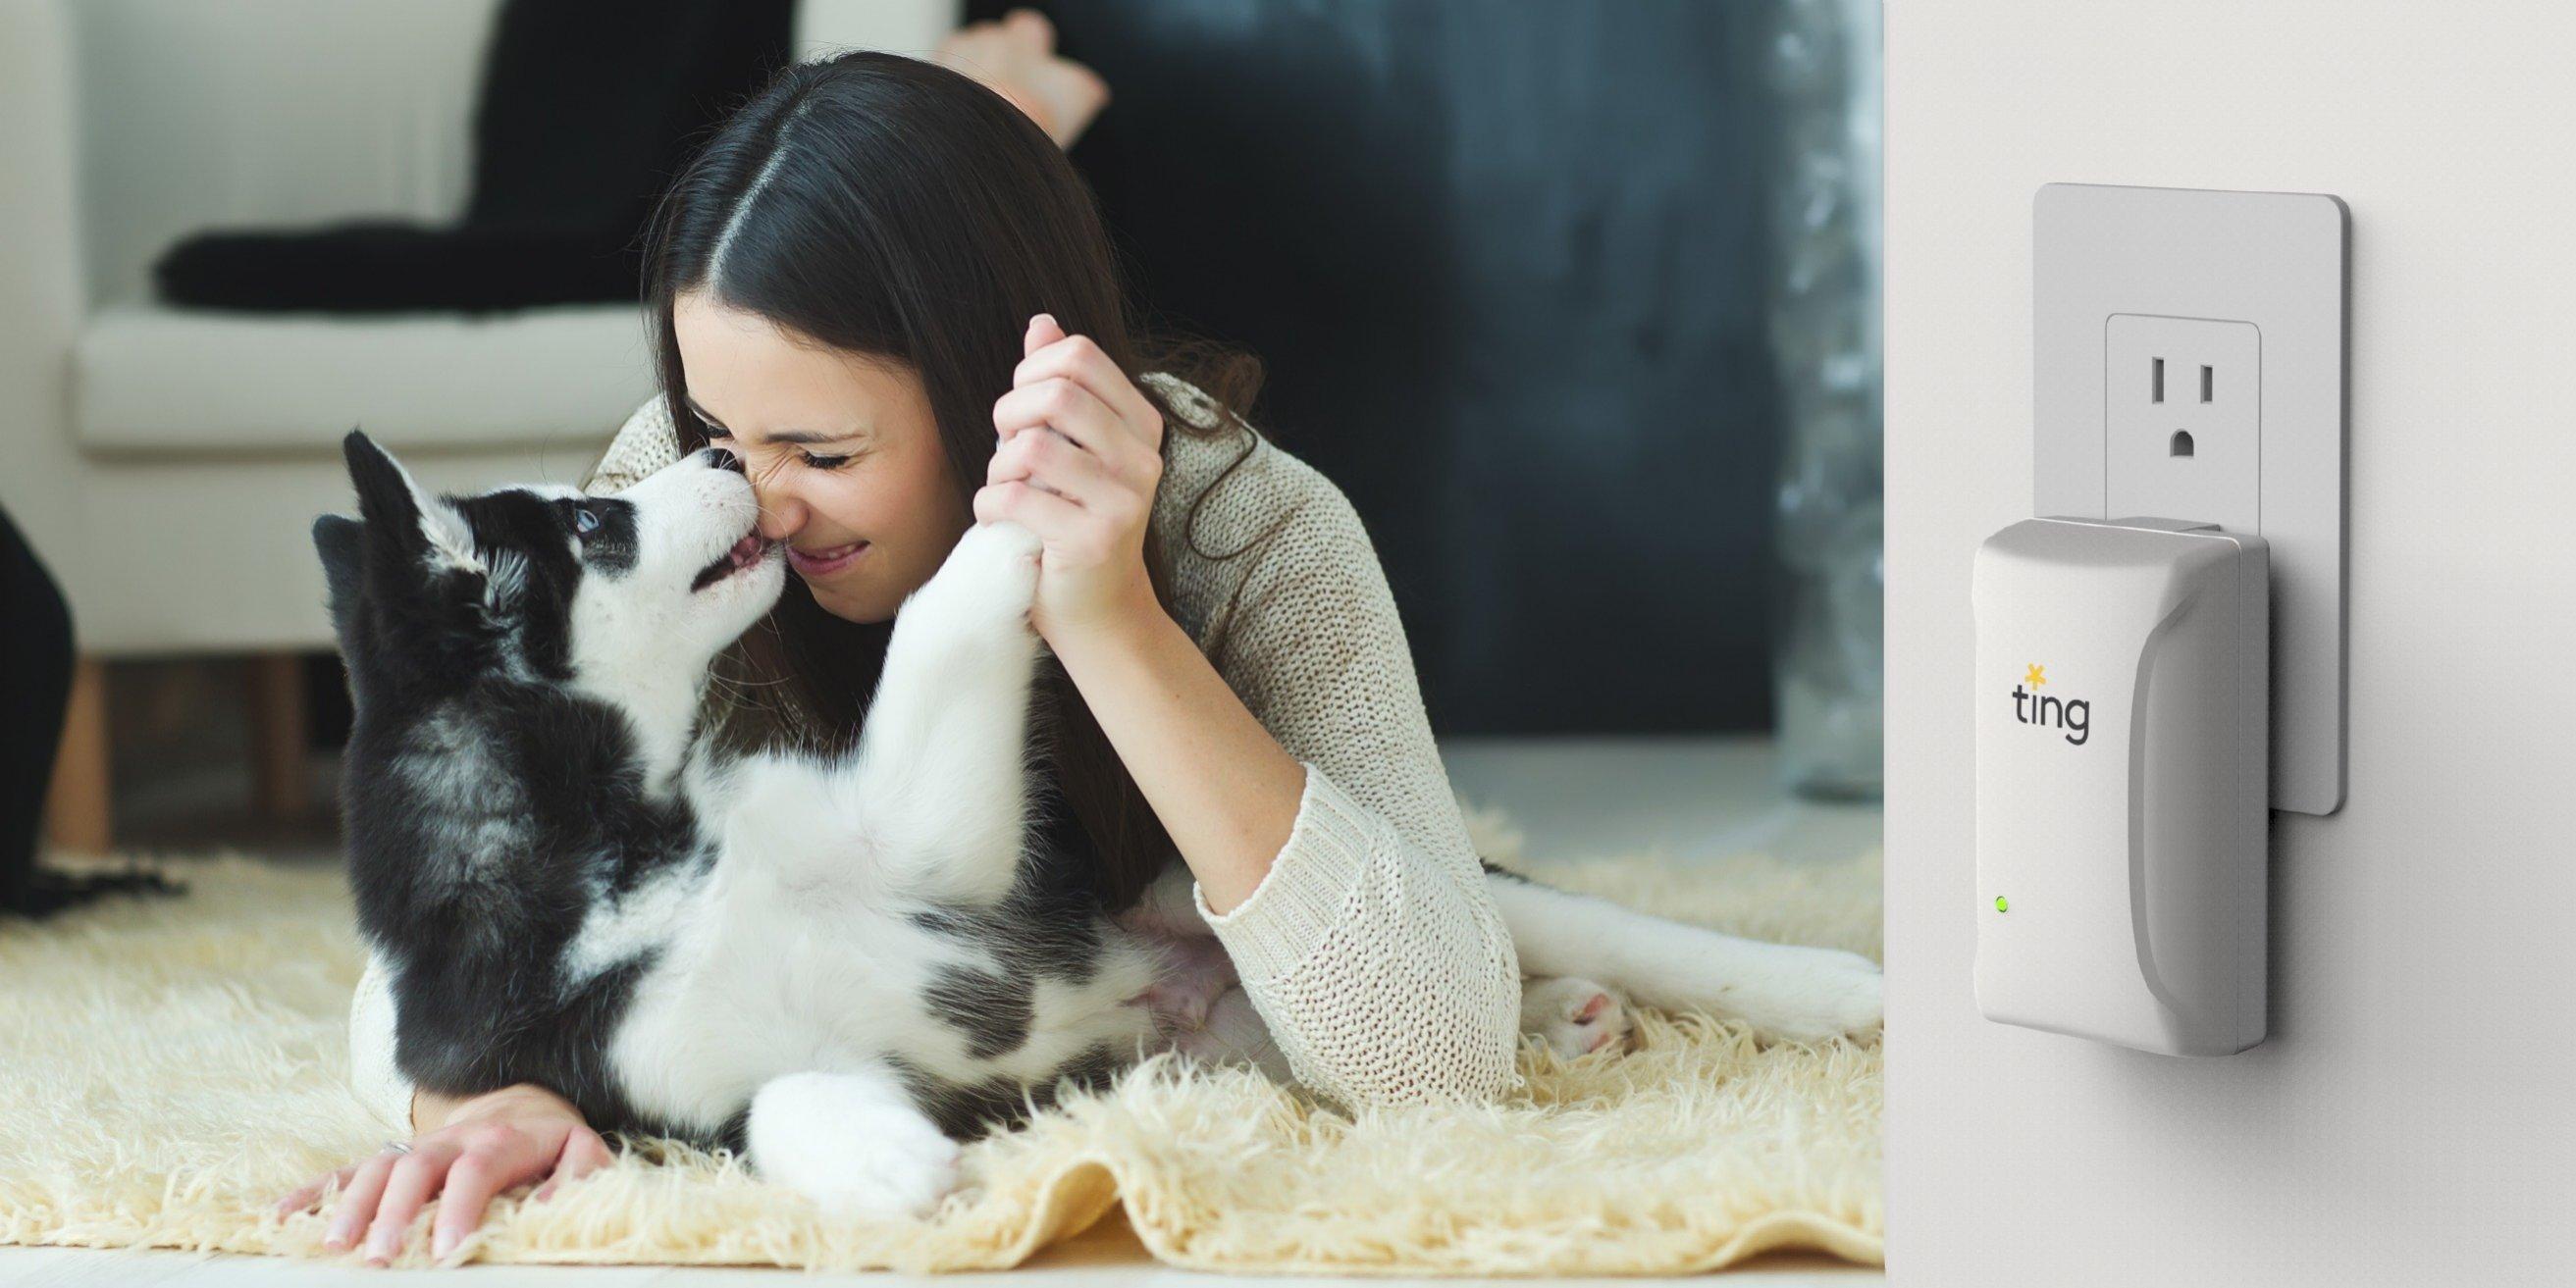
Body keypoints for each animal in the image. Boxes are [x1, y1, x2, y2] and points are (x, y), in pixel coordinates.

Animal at [322, 430, 1885, 1215]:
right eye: (596, 528)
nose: (714, 442)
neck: (632, 852)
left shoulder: (923, 836)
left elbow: (943, 602)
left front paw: (1049, 447)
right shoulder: (675, 1085)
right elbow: (770, 1105)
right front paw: (885, 1163)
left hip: (1216, 882)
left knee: (1564, 928)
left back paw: (1826, 986)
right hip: (1228, 1049)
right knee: (1437, 1033)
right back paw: (1565, 1020)